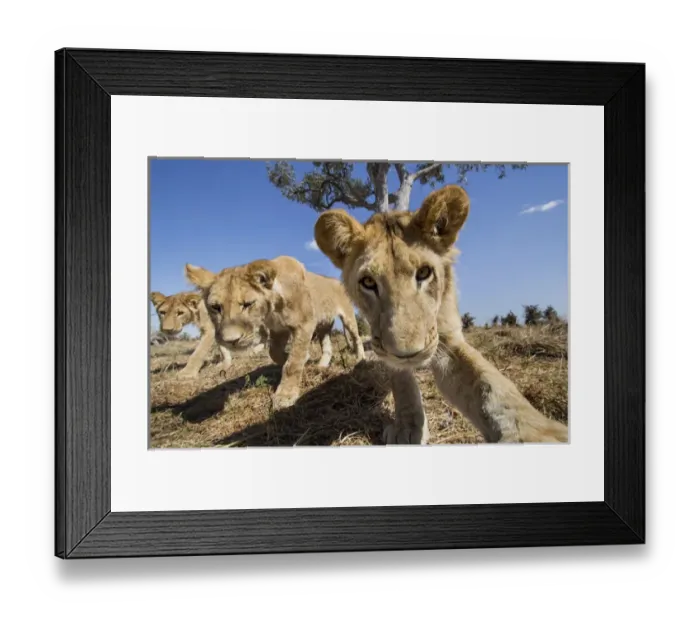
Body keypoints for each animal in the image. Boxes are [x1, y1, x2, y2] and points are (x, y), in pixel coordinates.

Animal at [184, 256, 365, 410]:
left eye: (248, 304)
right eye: (216, 307)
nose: (231, 340)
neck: (271, 309)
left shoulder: (305, 323)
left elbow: (293, 363)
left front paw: (285, 394)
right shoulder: (279, 330)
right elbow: (275, 353)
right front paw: (303, 360)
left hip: (348, 317)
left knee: (356, 338)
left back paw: (361, 359)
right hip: (323, 325)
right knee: (327, 345)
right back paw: (321, 365)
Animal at [314, 184, 569, 445]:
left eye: (424, 273)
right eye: (368, 282)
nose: (409, 354)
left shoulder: (448, 339)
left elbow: (489, 384)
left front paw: (536, 434)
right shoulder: (385, 344)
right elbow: (401, 379)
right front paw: (408, 428)